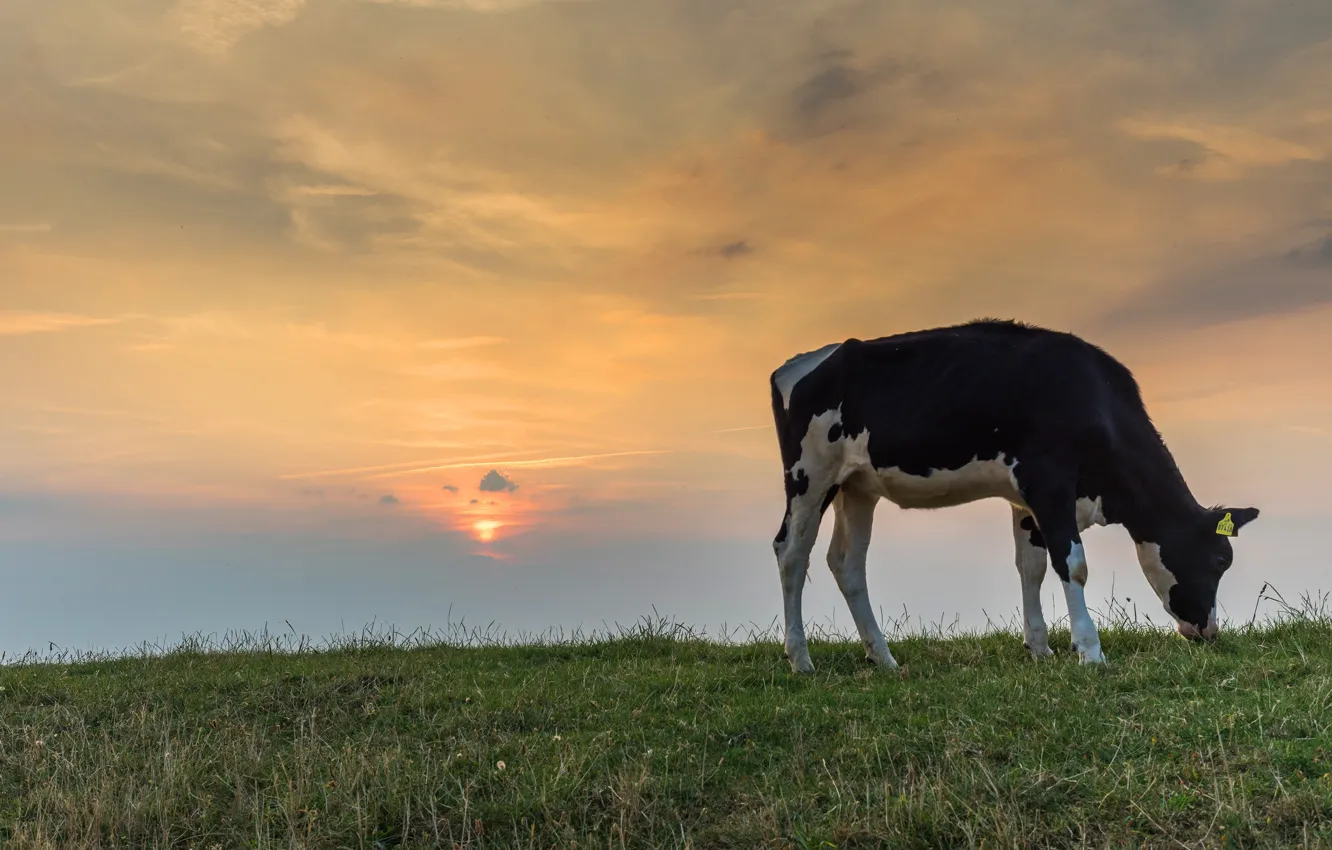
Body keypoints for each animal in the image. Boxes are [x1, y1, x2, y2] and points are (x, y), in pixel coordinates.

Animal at [769, 319, 1259, 672]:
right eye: (1220, 560)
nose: (1209, 631)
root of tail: (799, 362)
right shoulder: (1048, 482)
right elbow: (1073, 565)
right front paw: (1090, 651)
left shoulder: (1027, 500)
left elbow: (1033, 567)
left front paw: (1040, 648)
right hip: (809, 473)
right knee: (791, 551)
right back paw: (800, 659)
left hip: (856, 486)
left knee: (847, 563)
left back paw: (883, 657)